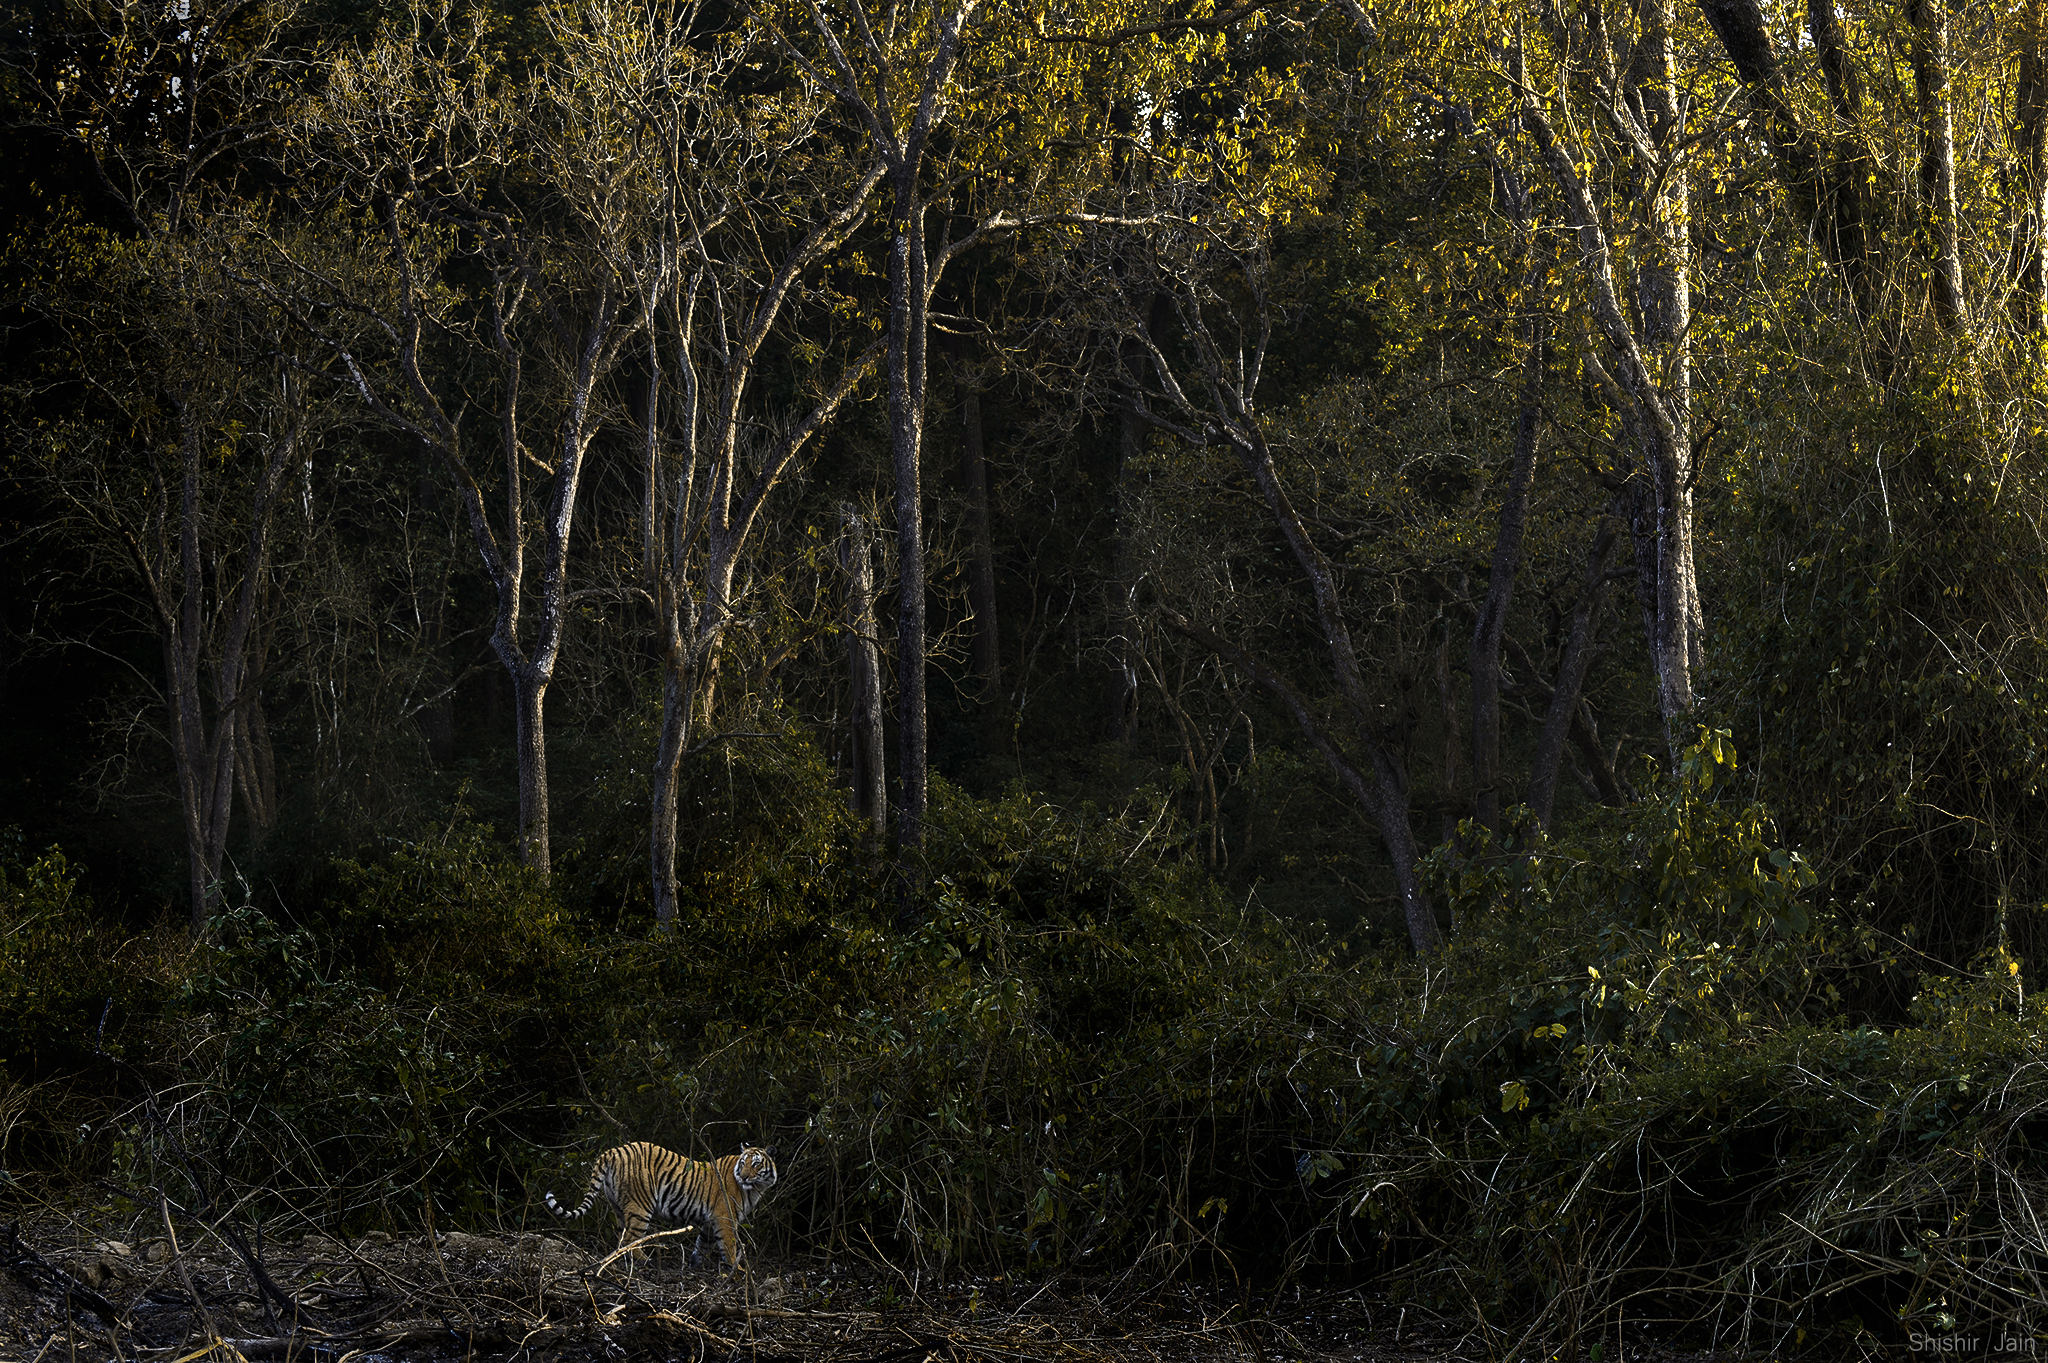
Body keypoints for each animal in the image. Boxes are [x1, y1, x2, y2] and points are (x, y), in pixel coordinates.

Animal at [544, 1137, 774, 1260]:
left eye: (755, 1164)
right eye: (744, 1163)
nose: (744, 1176)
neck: (754, 1188)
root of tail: (612, 1151)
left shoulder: (711, 1221)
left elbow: (703, 1245)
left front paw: (694, 1265)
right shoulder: (725, 1218)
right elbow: (729, 1247)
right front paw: (736, 1273)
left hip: (618, 1207)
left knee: (621, 1239)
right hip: (640, 1207)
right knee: (630, 1240)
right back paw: (645, 1262)